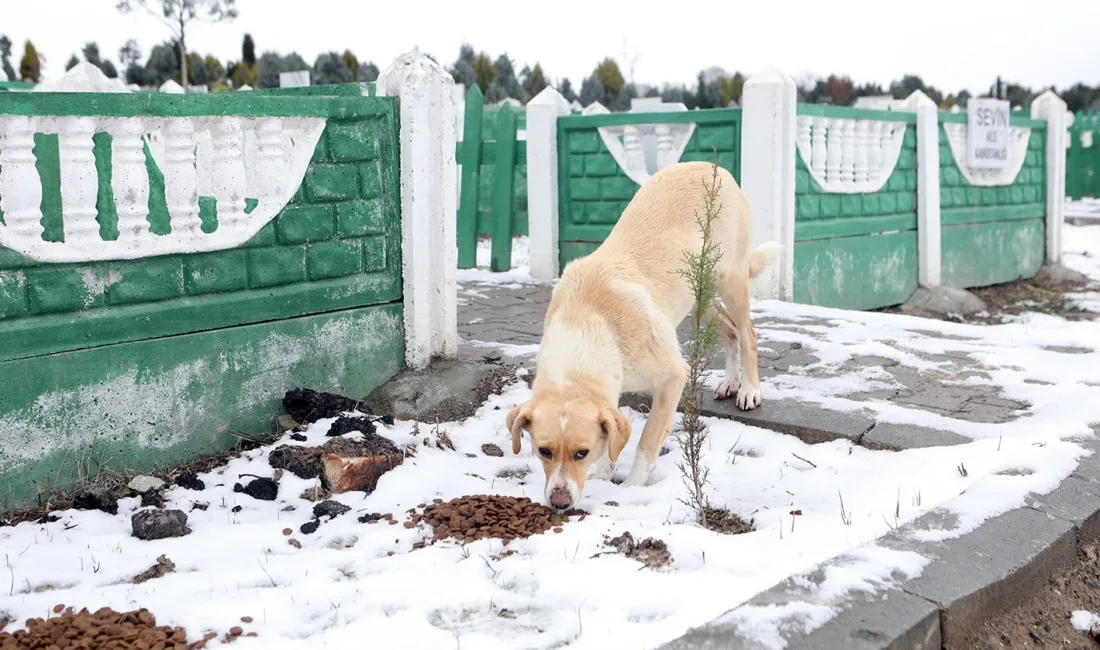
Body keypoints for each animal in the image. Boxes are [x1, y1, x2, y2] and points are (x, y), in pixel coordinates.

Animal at [506, 160, 783, 510]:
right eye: (544, 451)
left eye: (581, 453)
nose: (560, 502)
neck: (586, 322)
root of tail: (711, 166)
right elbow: (612, 432)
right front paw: (604, 472)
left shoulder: (673, 378)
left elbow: (647, 441)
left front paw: (631, 486)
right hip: (698, 293)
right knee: (729, 330)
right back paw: (731, 382)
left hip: (728, 278)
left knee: (748, 334)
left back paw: (748, 390)